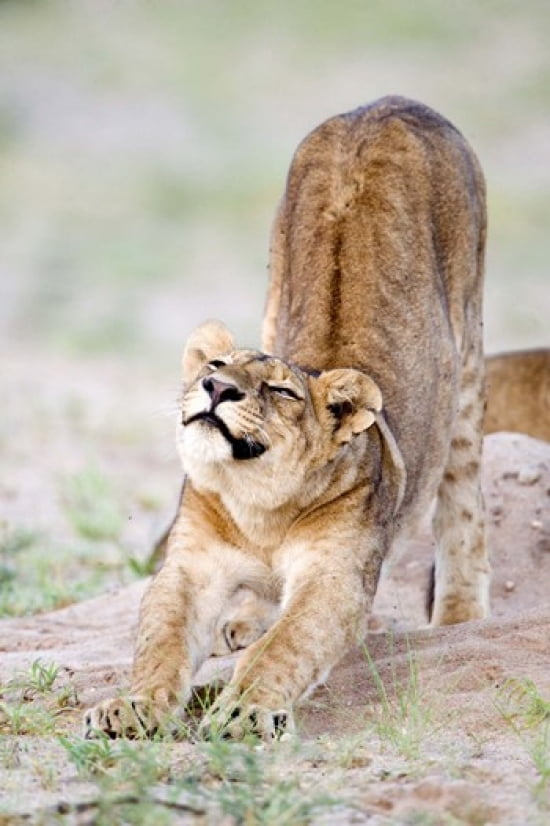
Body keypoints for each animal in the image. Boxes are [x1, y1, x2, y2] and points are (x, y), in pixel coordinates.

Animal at [84, 96, 489, 741]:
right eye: (216, 365)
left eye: (279, 390)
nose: (216, 387)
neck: (259, 505)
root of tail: (388, 102)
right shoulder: (190, 569)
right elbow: (161, 641)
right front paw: (135, 707)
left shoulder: (334, 580)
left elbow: (287, 646)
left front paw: (244, 713)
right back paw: (244, 619)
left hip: (467, 362)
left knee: (463, 502)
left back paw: (459, 618)